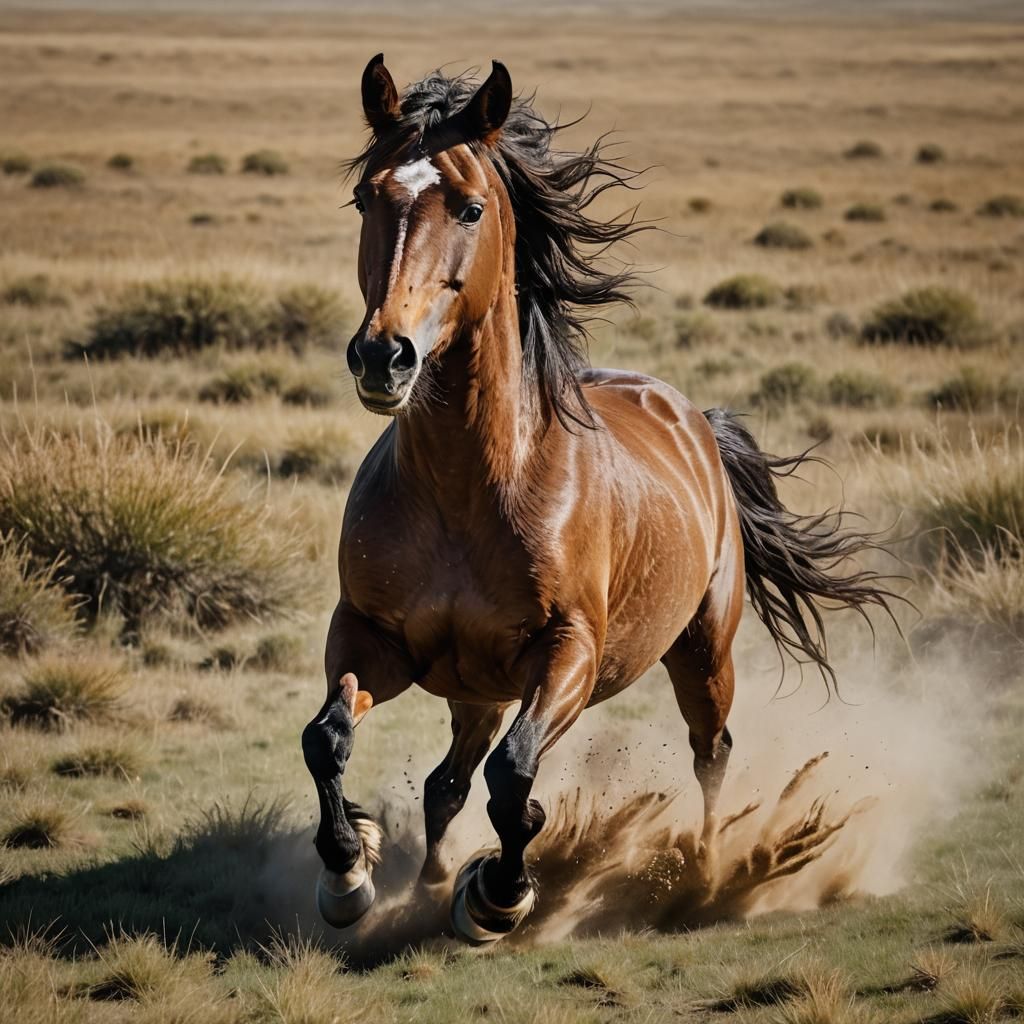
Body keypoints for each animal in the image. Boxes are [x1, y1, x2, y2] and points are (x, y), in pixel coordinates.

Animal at [301, 55, 897, 945]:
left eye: (470, 206)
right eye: (366, 197)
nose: (384, 357)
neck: (466, 491)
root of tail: (693, 419)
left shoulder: (568, 654)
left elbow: (516, 778)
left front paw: (500, 895)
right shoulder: (371, 636)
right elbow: (328, 739)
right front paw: (350, 871)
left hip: (701, 651)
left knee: (710, 752)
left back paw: (703, 877)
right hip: (475, 686)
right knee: (447, 781)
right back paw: (428, 885)